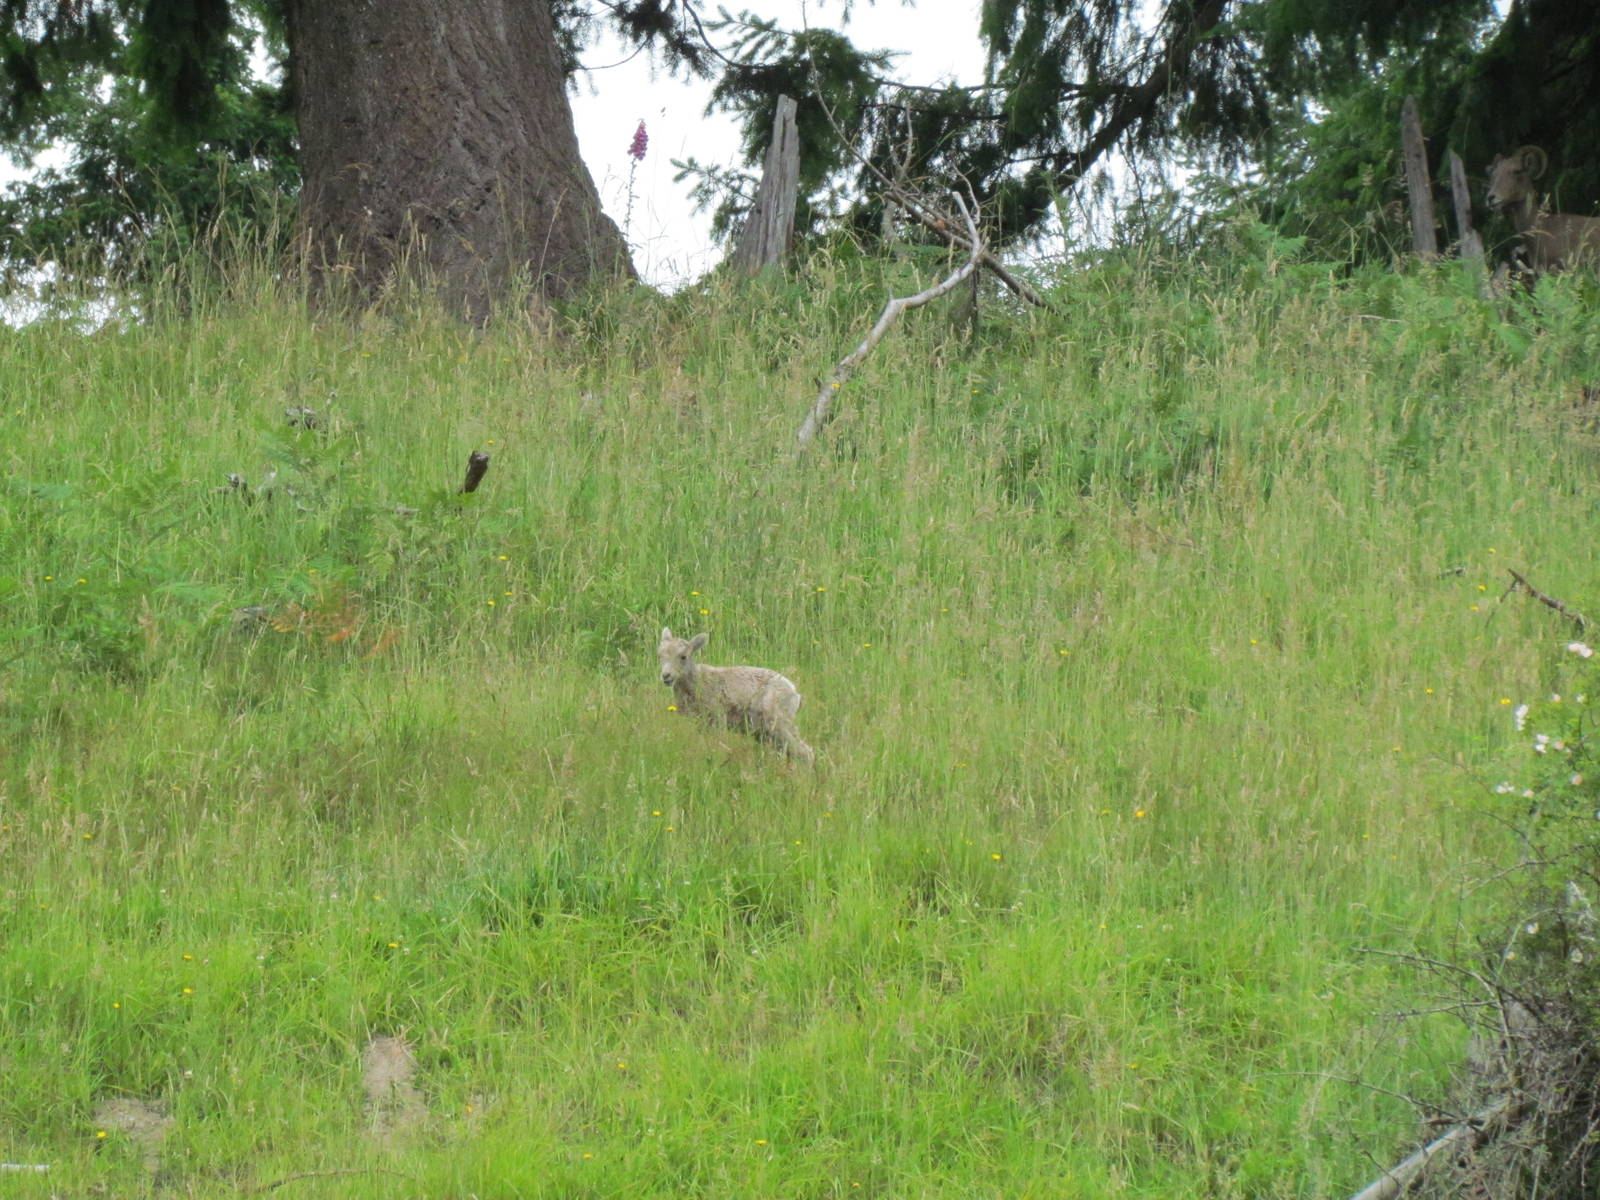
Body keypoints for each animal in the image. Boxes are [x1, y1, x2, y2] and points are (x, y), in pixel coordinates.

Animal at [657, 627, 814, 766]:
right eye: (660, 656)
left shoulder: (717, 719)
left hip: (779, 723)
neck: (697, 684)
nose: (666, 676)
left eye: (683, 656)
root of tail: (795, 694)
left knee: (806, 752)